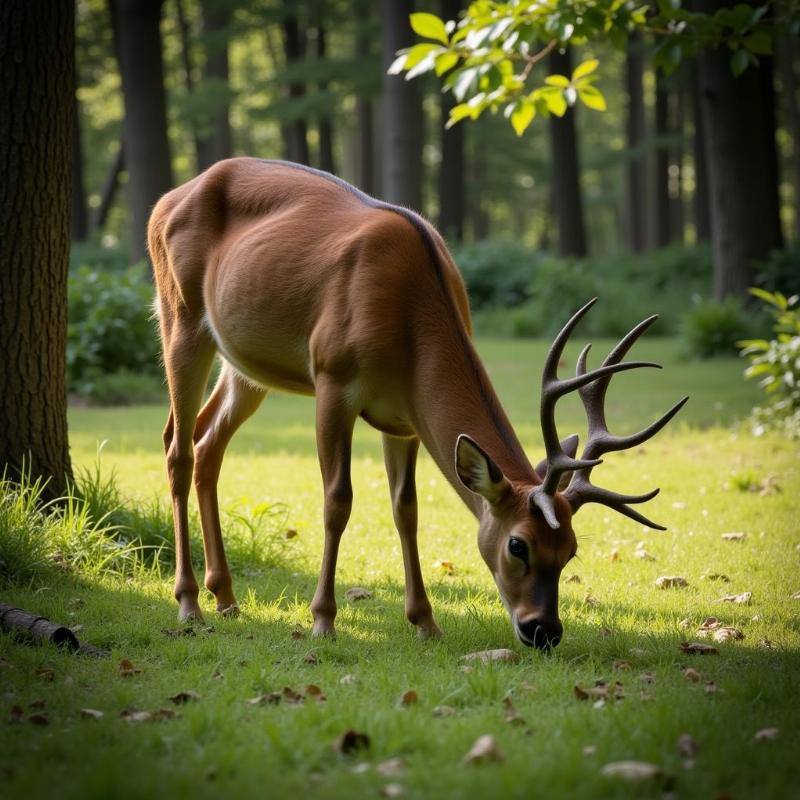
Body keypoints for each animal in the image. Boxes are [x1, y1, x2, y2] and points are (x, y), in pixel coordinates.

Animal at [147, 158, 684, 648]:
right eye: (519, 545)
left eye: (570, 549)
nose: (543, 631)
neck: (408, 318)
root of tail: (165, 201)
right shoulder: (333, 378)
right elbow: (337, 500)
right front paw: (323, 619)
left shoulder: (403, 417)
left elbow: (407, 509)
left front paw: (426, 621)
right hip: (180, 315)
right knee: (177, 446)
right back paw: (189, 602)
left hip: (246, 366)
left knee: (208, 443)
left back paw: (225, 596)